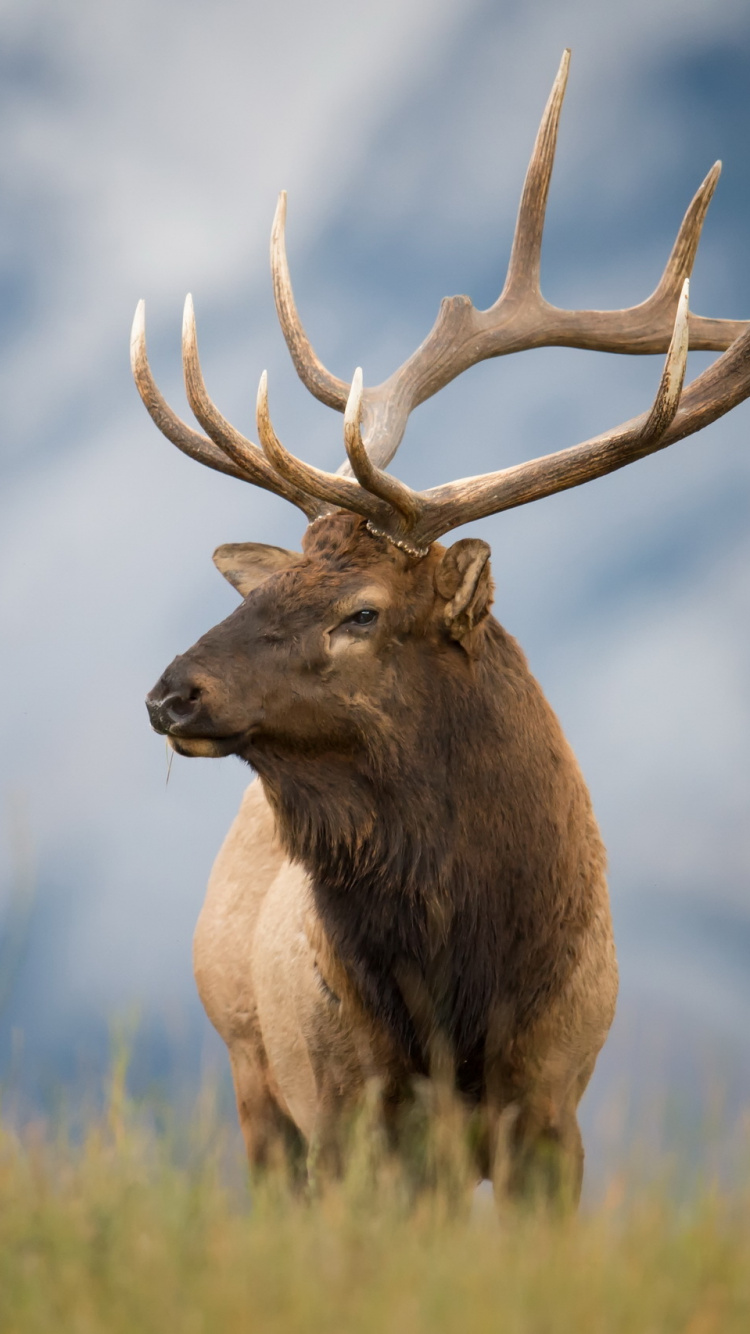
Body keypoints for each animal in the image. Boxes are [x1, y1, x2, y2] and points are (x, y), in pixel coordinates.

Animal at [134, 52, 750, 1204]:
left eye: (361, 612)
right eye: (261, 591)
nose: (169, 693)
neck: (462, 999)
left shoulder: (555, 1101)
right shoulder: (343, 1107)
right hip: (253, 1082)